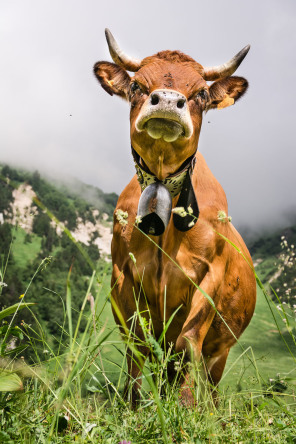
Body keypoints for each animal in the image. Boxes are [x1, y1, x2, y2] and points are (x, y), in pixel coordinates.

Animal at [93, 29, 256, 408]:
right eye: (136, 85)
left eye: (200, 94)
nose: (167, 101)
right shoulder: (123, 273)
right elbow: (137, 343)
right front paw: (132, 405)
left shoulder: (210, 274)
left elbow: (187, 341)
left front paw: (186, 408)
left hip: (221, 350)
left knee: (208, 378)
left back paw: (208, 410)